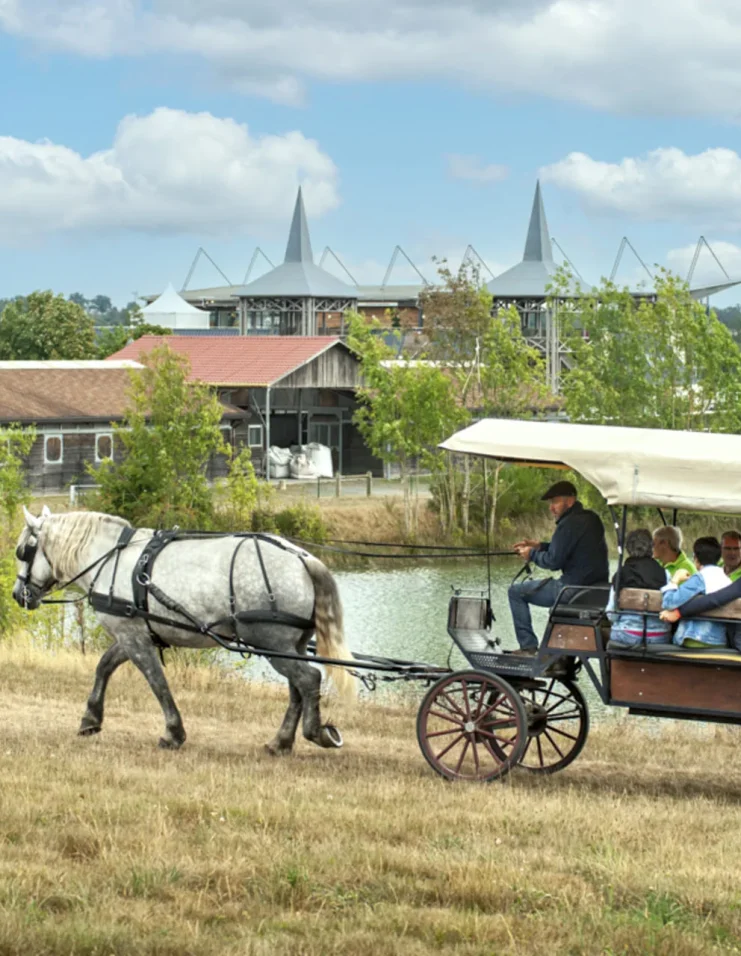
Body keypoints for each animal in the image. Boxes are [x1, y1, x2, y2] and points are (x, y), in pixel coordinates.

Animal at [12, 507, 355, 754]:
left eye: (22, 551)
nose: (18, 595)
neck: (109, 558)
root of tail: (303, 558)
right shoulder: (133, 632)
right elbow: (104, 666)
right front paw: (90, 719)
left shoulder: (133, 637)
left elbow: (157, 683)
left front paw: (173, 733)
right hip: (290, 644)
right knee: (297, 688)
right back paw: (280, 742)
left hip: (272, 642)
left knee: (308, 679)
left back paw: (315, 733)